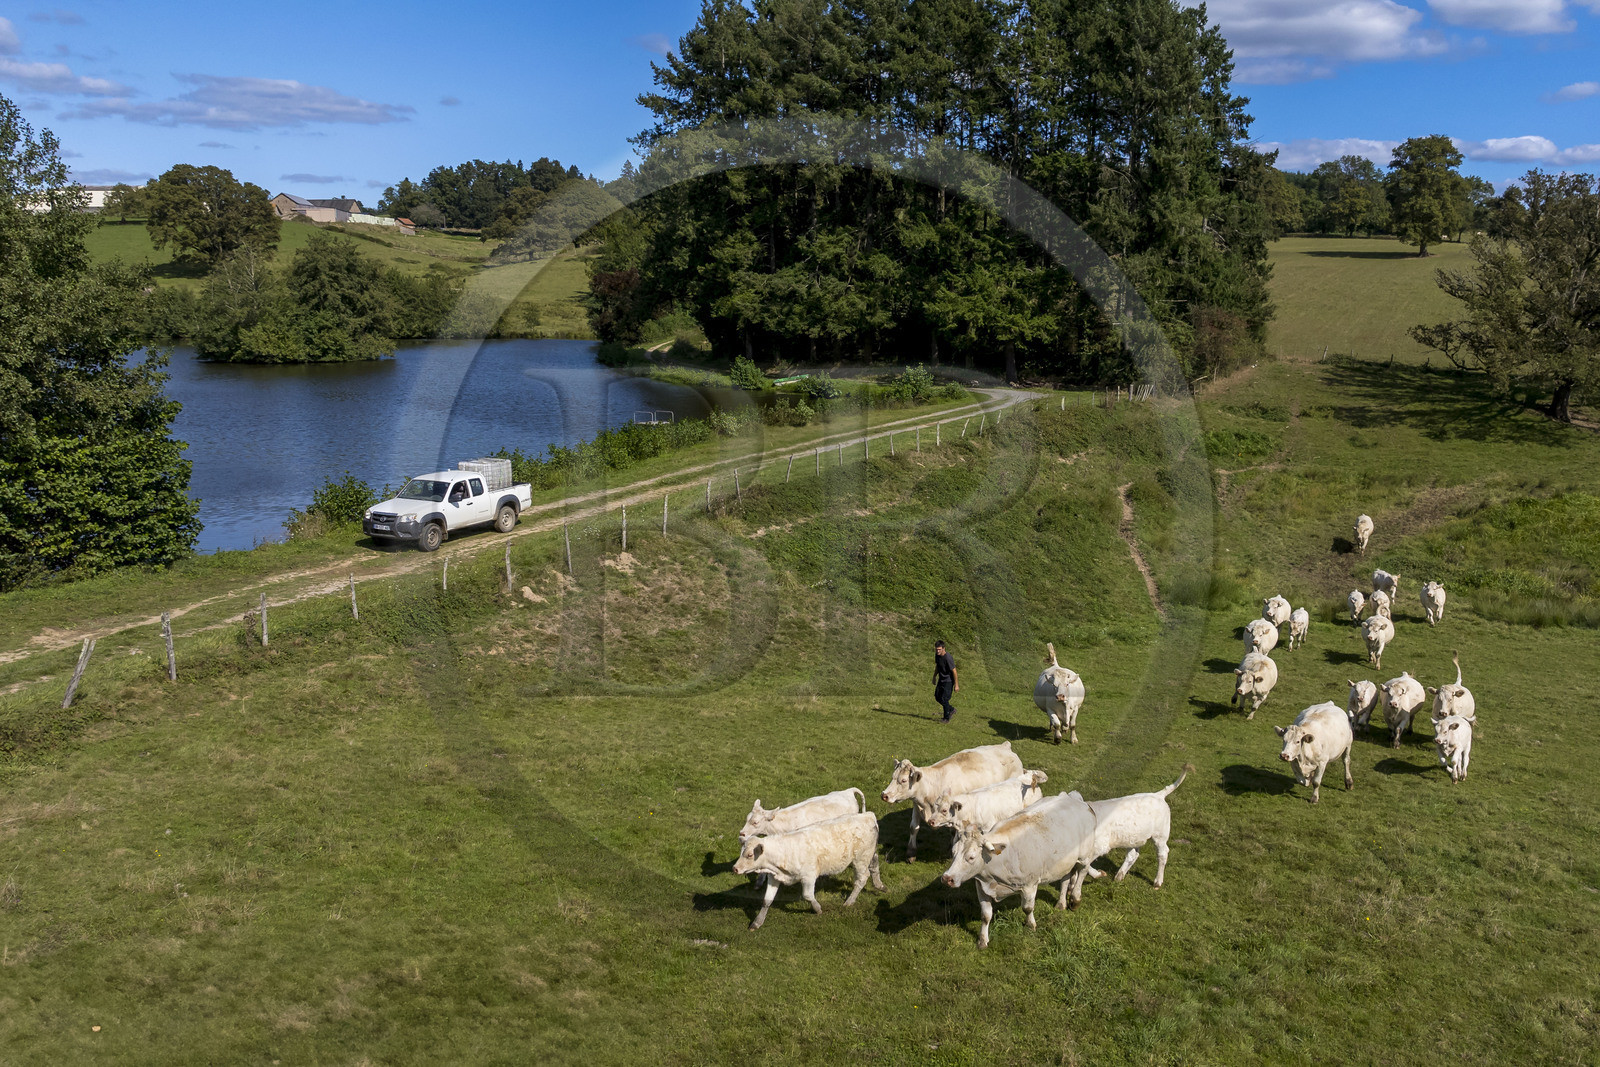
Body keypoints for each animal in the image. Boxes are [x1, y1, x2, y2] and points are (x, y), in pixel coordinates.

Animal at [733, 813, 884, 931]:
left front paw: (818, 909)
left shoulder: (808, 876)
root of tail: (868, 815)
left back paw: (849, 901)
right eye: (741, 853)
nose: (735, 868)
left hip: (860, 859)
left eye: (750, 855)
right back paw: (880, 885)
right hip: (870, 855)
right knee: (875, 863)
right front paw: (757, 922)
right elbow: (766, 901)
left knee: (862, 879)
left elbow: (807, 895)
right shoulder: (774, 877)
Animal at [881, 742, 1025, 861]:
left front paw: (951, 849)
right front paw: (911, 853)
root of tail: (1004, 745)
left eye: (903, 780)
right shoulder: (917, 807)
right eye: (893, 777)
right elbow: (913, 828)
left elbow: (953, 832)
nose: (884, 795)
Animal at [939, 792, 1099, 948]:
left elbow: (1027, 908)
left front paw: (1030, 925)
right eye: (953, 852)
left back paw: (1075, 899)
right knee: (1065, 880)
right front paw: (982, 941)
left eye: (971, 857)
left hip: (1084, 857)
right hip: (1065, 862)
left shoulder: (1030, 885)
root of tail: (1074, 798)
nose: (947, 878)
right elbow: (985, 915)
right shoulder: (981, 886)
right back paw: (1061, 903)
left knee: (1082, 873)